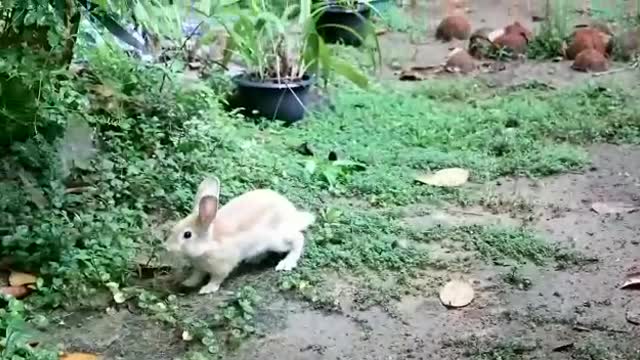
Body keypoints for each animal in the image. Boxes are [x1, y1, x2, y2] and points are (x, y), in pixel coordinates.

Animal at [165, 176, 316, 294]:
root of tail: (293, 217)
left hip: (277, 240)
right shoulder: (199, 267)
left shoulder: (222, 266)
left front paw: (207, 289)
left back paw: (286, 263)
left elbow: (217, 278)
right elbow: (197, 275)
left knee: (298, 239)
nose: (167, 247)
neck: (209, 243)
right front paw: (188, 282)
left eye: (187, 235)